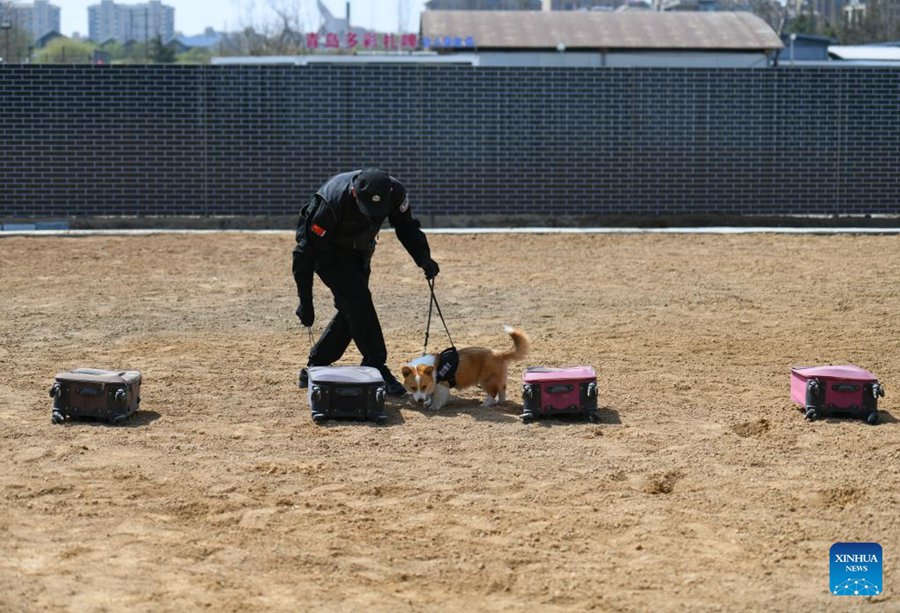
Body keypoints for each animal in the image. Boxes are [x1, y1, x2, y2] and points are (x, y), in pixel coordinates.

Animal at [400, 326, 528, 412]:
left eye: (423, 386)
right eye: (413, 387)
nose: (420, 401)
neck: (434, 370)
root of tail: (499, 353)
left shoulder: (441, 386)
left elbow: (437, 398)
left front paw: (434, 406)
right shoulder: (434, 386)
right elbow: (431, 396)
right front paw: (428, 402)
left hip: (486, 381)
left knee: (492, 394)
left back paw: (486, 404)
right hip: (497, 380)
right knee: (502, 391)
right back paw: (499, 402)